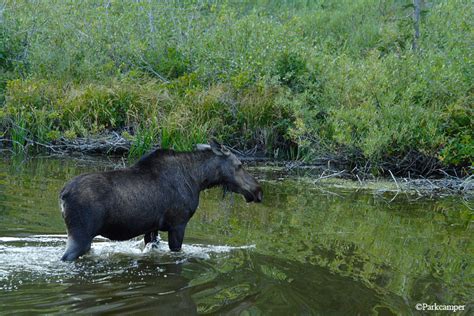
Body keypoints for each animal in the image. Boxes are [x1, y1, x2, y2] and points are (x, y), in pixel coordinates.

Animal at [59, 139, 262, 260]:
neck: (199, 180)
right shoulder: (178, 224)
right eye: (239, 165)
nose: (258, 190)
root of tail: (62, 196)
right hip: (80, 234)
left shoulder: (152, 228)